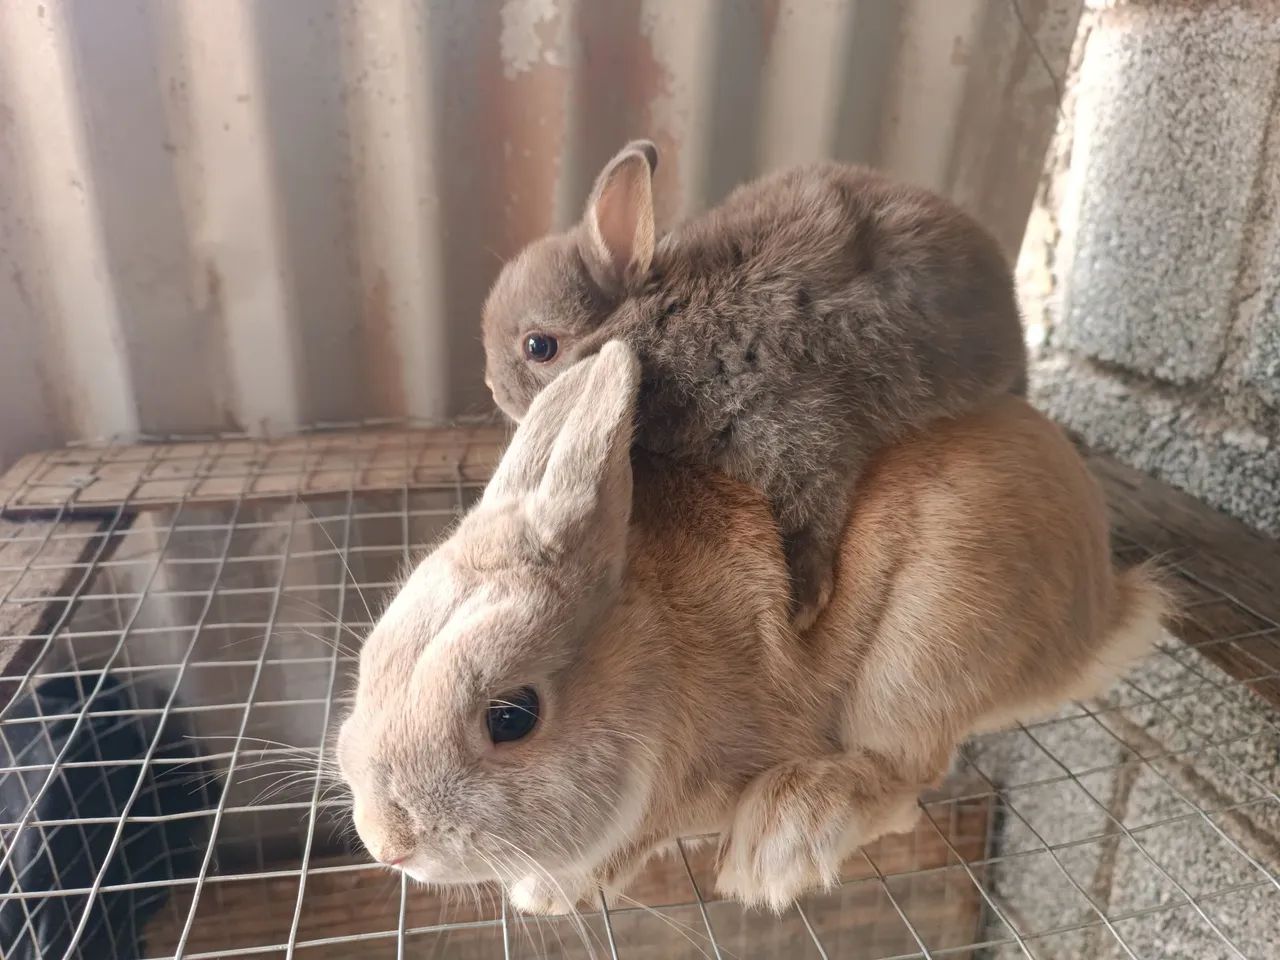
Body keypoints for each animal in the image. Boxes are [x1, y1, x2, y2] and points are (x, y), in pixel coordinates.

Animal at [338, 341, 1166, 915]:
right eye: (375, 657)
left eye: (512, 717)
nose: (387, 843)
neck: (658, 665)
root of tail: (1100, 605)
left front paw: (548, 893)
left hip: (922, 650)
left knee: (904, 772)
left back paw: (785, 839)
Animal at [482, 141, 1028, 630]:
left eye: (538, 347)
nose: (490, 388)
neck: (657, 324)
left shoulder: (792, 426)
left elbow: (813, 502)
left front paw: (804, 606)